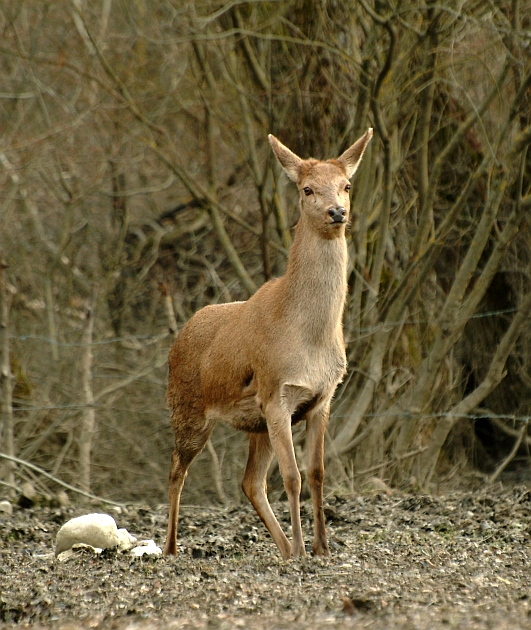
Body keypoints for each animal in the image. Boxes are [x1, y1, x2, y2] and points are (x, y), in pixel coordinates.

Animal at [164, 127, 376, 556]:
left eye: (346, 184)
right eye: (307, 189)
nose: (337, 212)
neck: (309, 337)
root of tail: (178, 340)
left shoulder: (322, 398)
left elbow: (317, 472)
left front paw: (322, 548)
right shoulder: (277, 392)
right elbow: (293, 476)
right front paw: (303, 550)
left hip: (254, 422)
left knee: (250, 481)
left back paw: (281, 547)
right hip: (188, 410)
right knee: (177, 469)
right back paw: (171, 548)